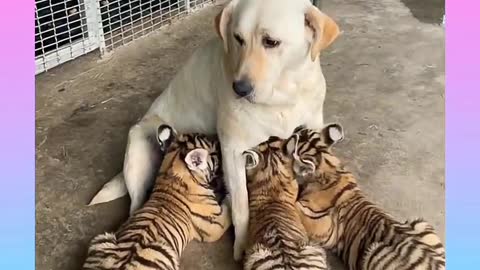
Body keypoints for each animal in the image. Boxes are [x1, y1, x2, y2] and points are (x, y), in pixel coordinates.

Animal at [89, 0, 338, 262]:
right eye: (238, 38)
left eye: (271, 42)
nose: (239, 89)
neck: (282, 96)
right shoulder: (233, 150)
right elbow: (240, 206)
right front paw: (241, 247)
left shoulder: (312, 127)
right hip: (137, 149)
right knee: (135, 204)